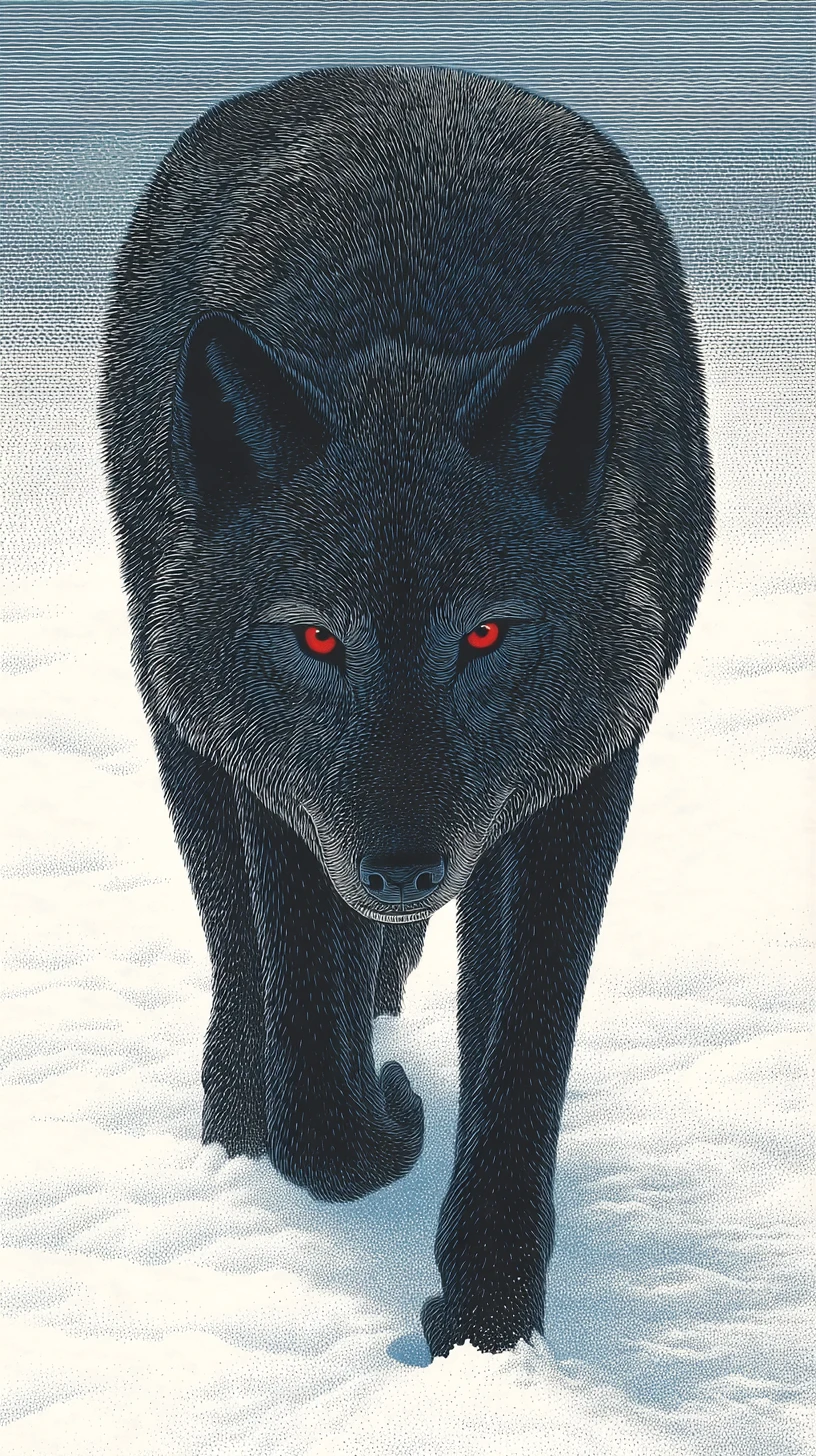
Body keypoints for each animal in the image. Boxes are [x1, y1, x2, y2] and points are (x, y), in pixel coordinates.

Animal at [100, 67, 713, 1358]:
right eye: (316, 639)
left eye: (484, 634)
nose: (401, 866)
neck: (406, 323)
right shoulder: (283, 792)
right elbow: (315, 1083)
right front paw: (383, 1115)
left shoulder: (582, 788)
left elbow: (521, 1064)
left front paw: (486, 1328)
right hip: (180, 727)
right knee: (239, 955)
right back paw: (236, 1133)